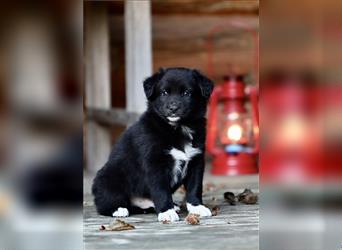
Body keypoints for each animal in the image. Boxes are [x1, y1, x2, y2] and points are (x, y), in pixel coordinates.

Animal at [92, 67, 212, 222]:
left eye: (187, 93)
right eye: (164, 92)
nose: (173, 108)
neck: (178, 127)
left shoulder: (196, 161)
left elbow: (195, 187)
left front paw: (197, 207)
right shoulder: (155, 164)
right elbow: (160, 190)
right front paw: (167, 211)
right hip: (109, 176)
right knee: (104, 202)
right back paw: (118, 209)